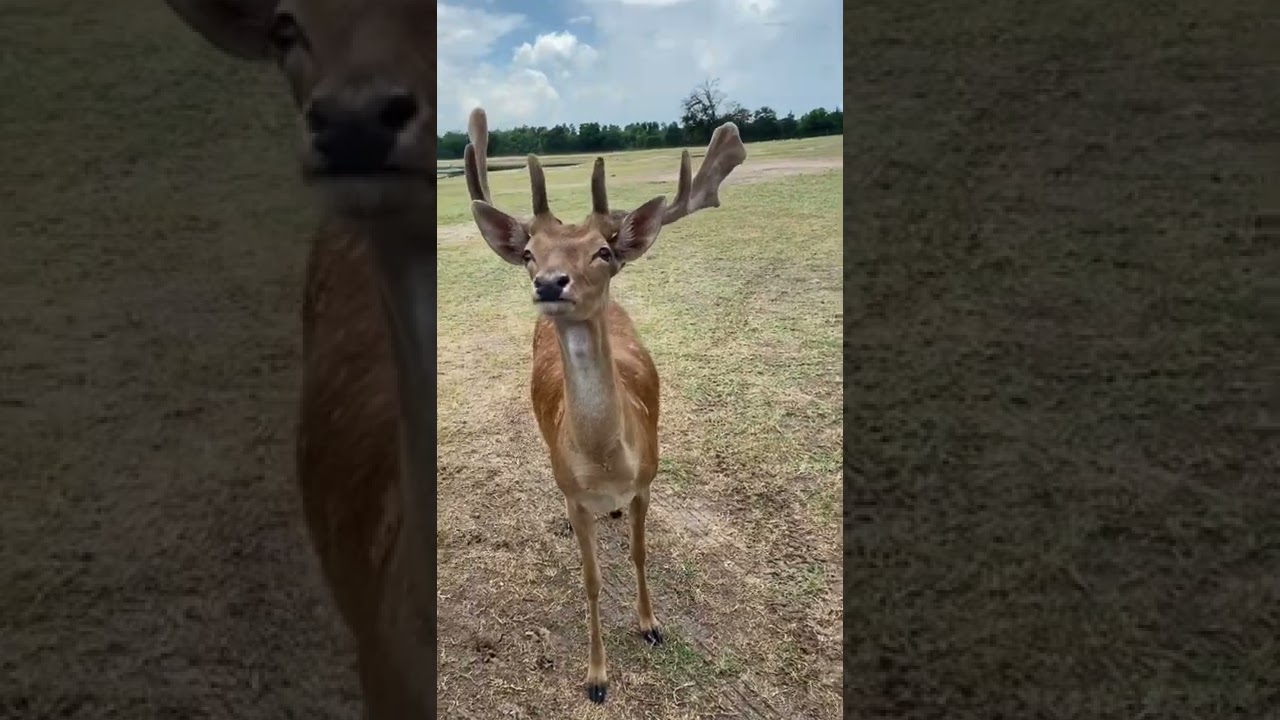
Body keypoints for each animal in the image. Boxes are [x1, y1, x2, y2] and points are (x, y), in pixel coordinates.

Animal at [462, 107, 747, 704]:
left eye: (604, 251)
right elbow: (591, 581)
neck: (608, 462)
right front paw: (596, 677)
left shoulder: (647, 480)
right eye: (529, 254)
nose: (550, 283)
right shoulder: (574, 491)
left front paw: (651, 625)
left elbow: (640, 553)